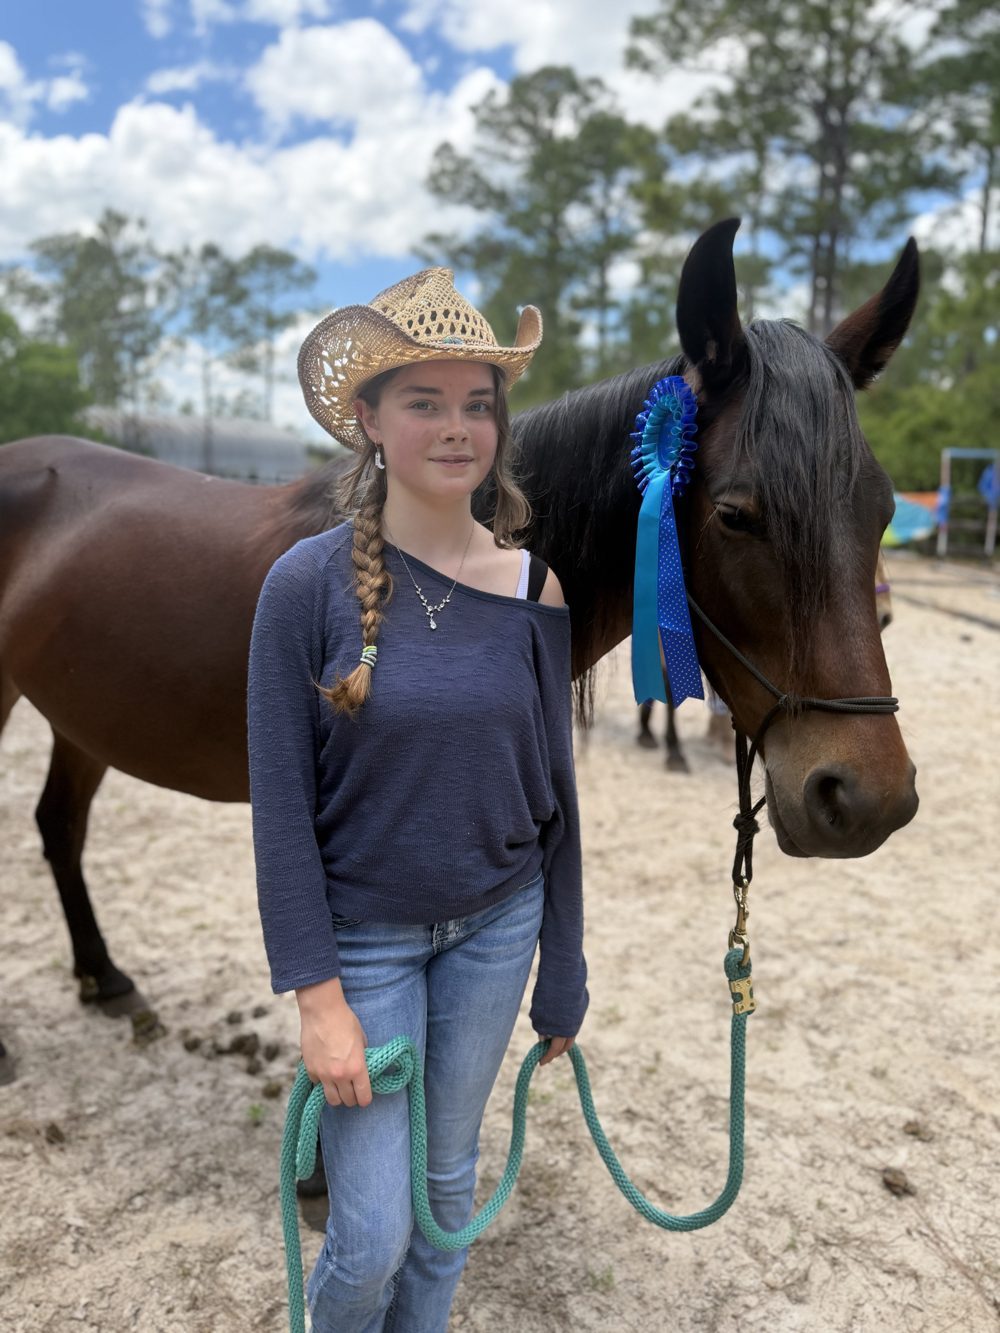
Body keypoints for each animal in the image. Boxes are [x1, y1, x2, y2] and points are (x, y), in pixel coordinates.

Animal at [0, 219, 919, 1080]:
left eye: (881, 509)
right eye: (734, 514)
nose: (867, 797)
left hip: (85, 717)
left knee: (58, 827)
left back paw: (106, 979)